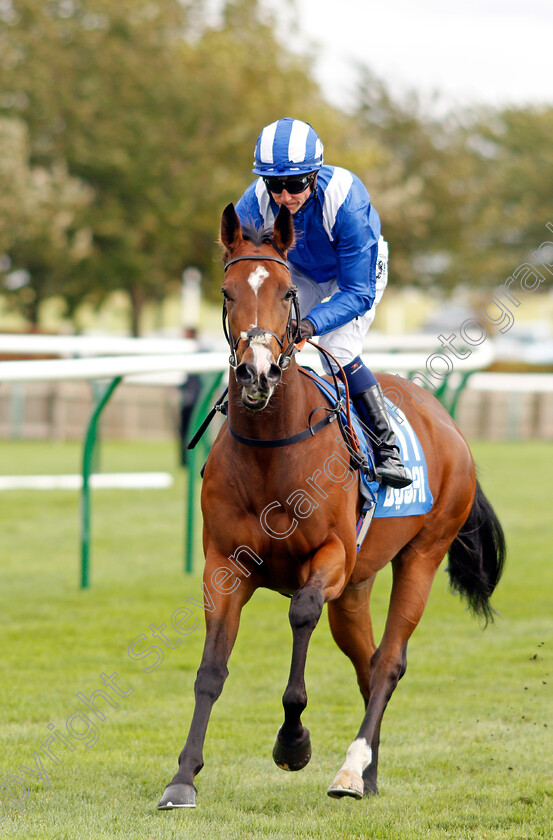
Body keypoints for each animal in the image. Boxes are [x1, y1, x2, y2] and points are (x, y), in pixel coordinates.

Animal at [156, 202, 504, 808]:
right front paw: (182, 778)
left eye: (287, 292)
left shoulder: (331, 556)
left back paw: (349, 771)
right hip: (358, 586)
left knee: (388, 661)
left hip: (423, 552)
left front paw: (292, 742)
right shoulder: (223, 566)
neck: (273, 451)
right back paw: (367, 771)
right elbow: (211, 669)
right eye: (226, 292)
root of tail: (446, 421)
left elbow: (300, 614)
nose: (258, 372)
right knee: (366, 660)